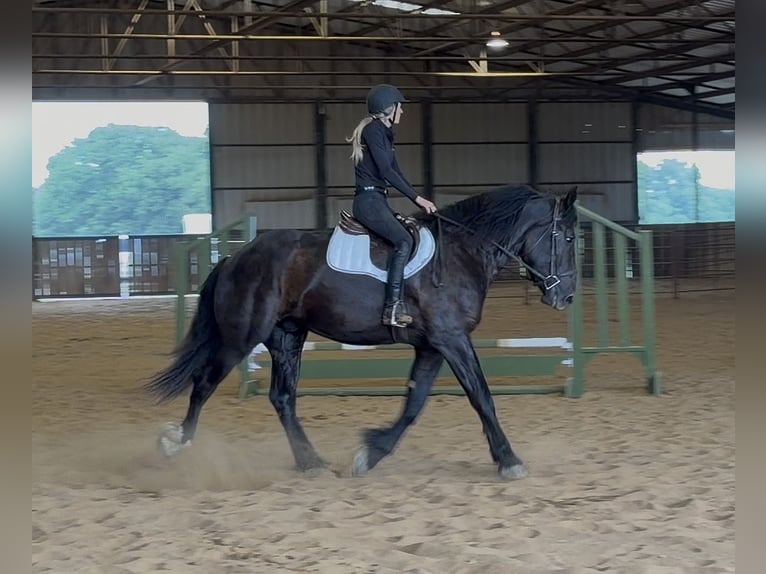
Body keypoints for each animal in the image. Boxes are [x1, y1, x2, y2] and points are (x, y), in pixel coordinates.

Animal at [145, 184, 579, 479]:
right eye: (570, 237)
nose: (568, 296)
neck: (463, 252)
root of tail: (235, 257)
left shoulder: (432, 346)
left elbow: (415, 403)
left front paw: (370, 454)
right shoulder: (452, 339)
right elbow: (481, 397)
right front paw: (510, 461)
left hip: (287, 336)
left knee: (282, 398)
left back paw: (311, 463)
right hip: (241, 338)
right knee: (204, 384)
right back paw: (173, 443)